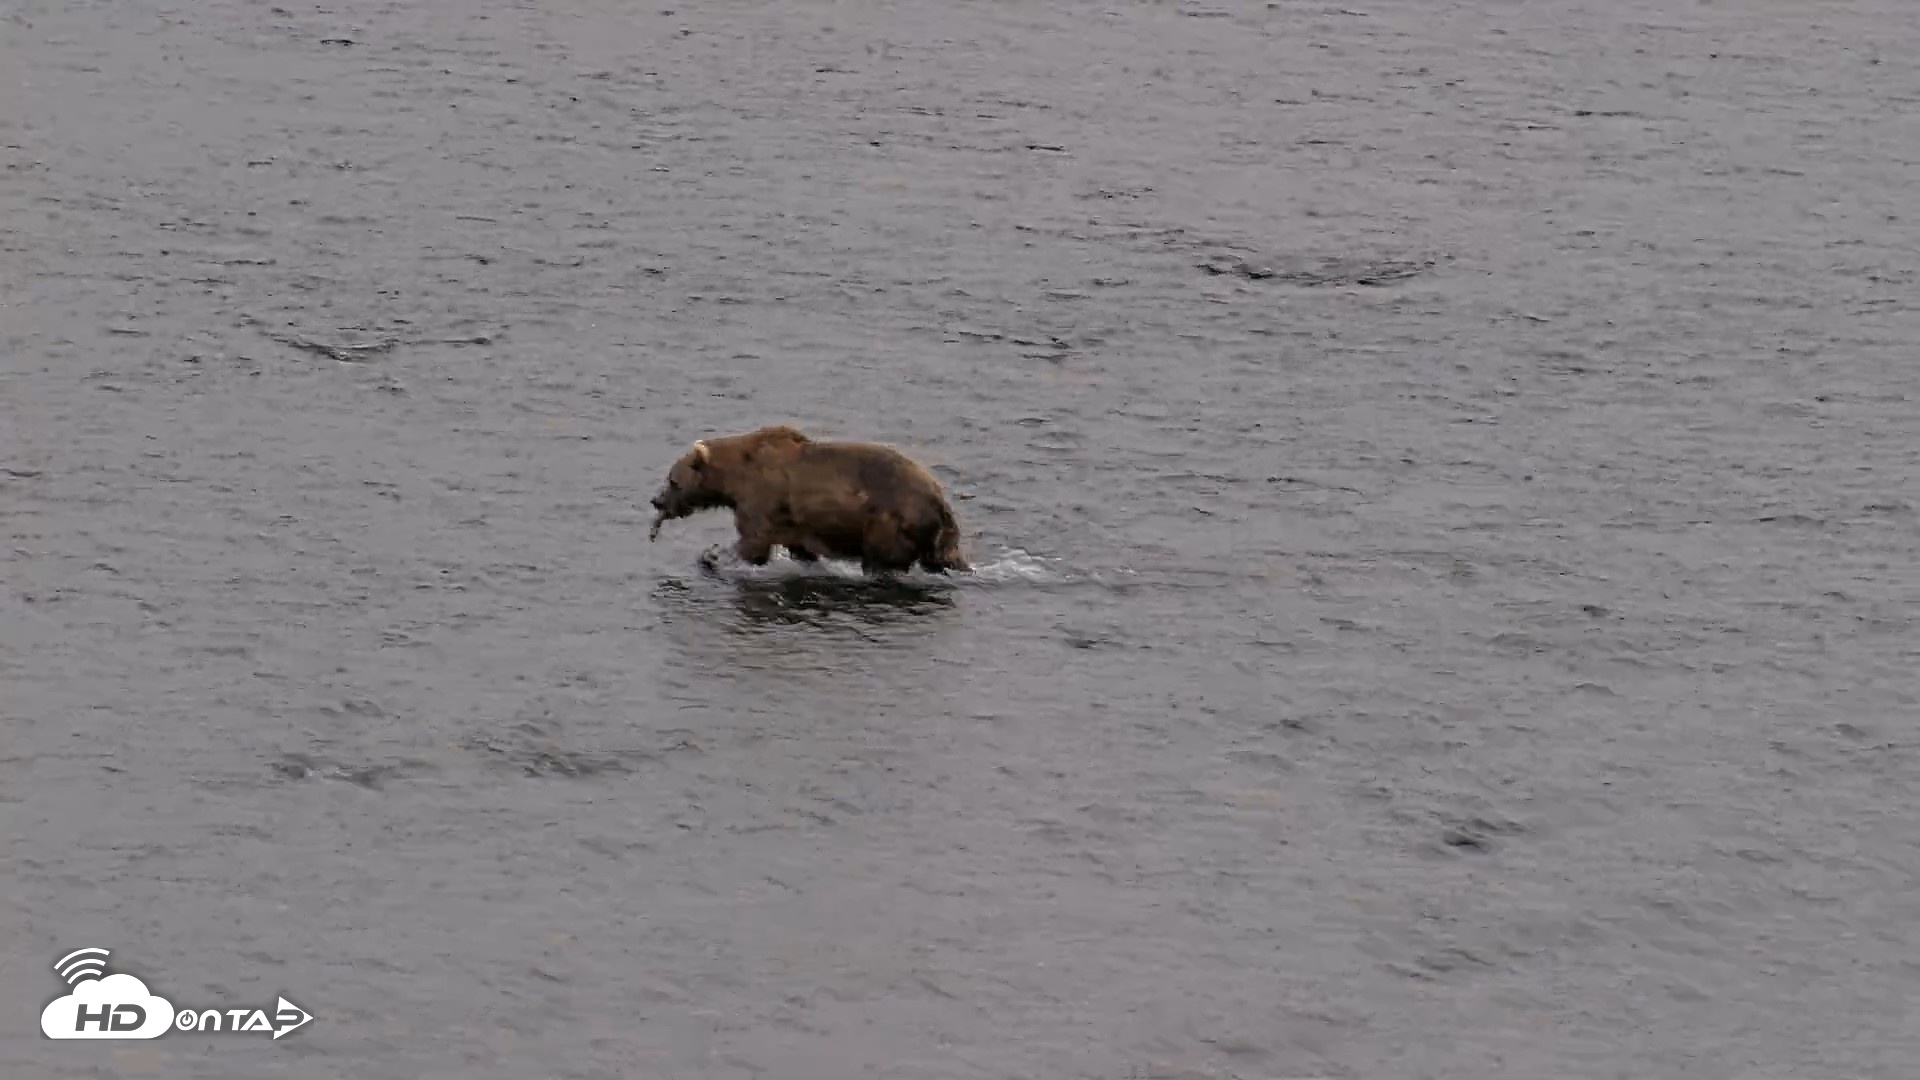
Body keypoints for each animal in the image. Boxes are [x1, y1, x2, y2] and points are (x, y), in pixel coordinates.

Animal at [648, 424, 971, 576]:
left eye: (672, 480)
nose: (656, 500)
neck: (735, 479)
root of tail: (940, 501)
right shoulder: (796, 523)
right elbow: (800, 548)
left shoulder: (762, 499)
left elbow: (753, 544)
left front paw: (713, 555)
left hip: (889, 522)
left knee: (881, 559)